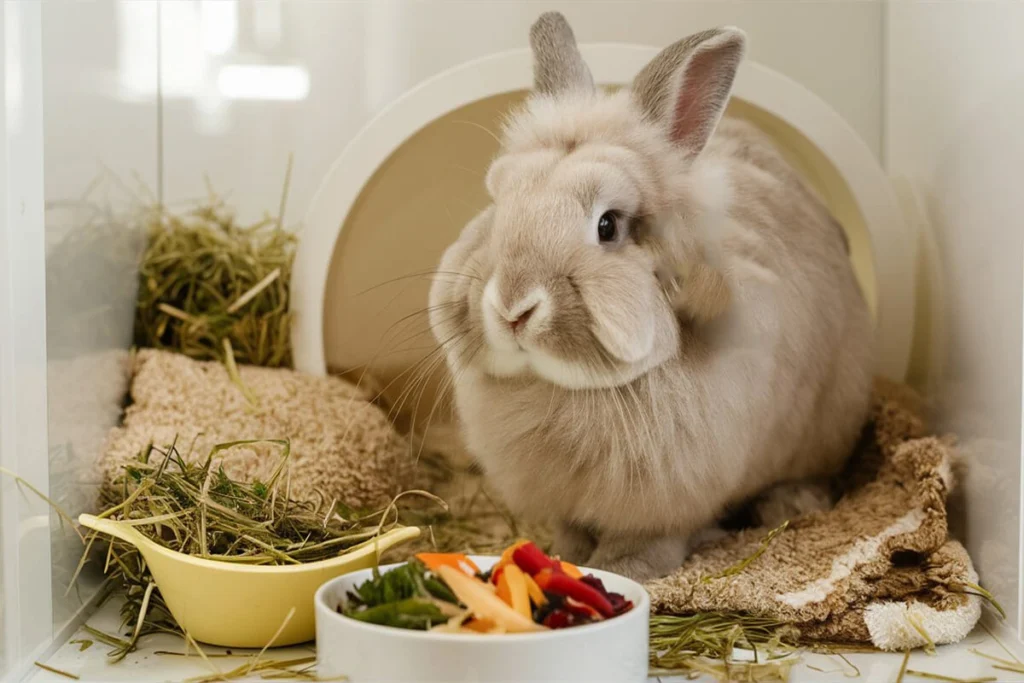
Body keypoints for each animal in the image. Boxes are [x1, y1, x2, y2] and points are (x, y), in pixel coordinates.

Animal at [423, 13, 872, 581]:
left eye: (608, 225)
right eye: (499, 202)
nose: (512, 308)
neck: (561, 389)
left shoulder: (667, 497)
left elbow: (647, 539)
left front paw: (627, 570)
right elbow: (571, 529)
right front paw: (565, 555)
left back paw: (791, 504)